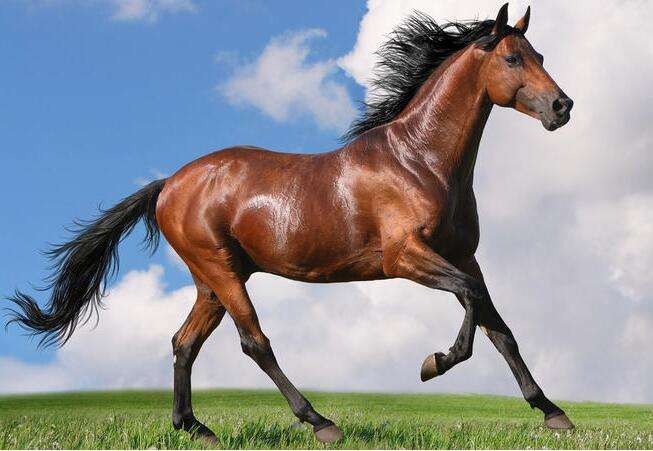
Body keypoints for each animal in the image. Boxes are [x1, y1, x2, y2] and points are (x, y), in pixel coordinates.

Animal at [7, 3, 575, 444]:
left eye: (541, 56)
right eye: (512, 57)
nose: (562, 106)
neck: (420, 161)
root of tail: (168, 184)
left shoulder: (464, 256)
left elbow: (499, 327)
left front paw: (553, 413)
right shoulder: (405, 257)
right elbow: (472, 305)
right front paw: (433, 362)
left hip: (212, 280)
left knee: (184, 342)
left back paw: (196, 428)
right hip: (221, 272)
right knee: (254, 341)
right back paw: (320, 422)